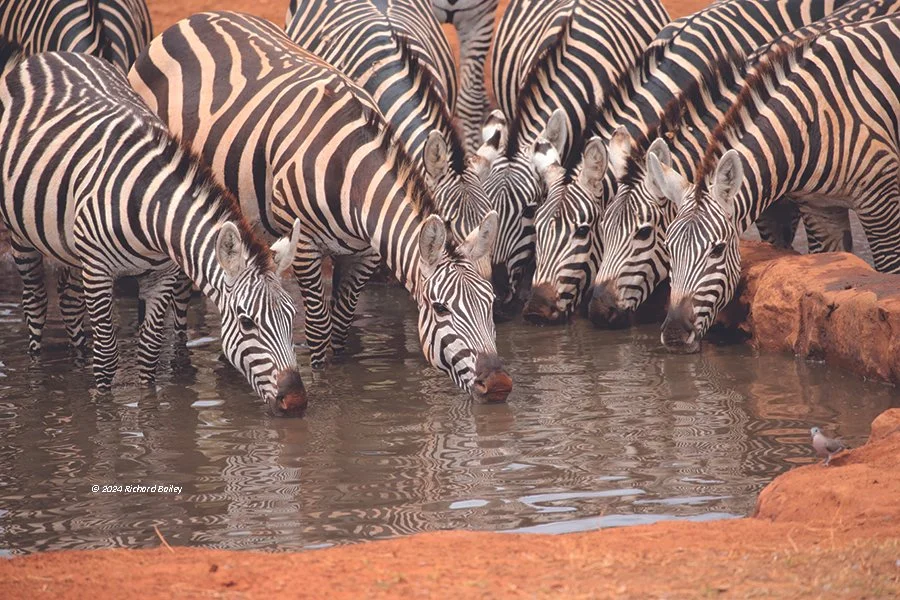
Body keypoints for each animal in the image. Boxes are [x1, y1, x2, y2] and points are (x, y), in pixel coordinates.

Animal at [0, 49, 307, 415]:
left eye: (291, 316)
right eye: (247, 322)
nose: (296, 400)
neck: (149, 206)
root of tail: (50, 54)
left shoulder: (162, 274)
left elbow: (148, 354)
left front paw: (149, 409)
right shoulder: (98, 272)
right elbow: (107, 358)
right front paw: (104, 411)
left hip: (67, 245)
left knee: (70, 303)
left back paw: (76, 360)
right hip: (21, 236)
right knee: (34, 304)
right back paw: (36, 373)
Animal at [589, 0, 900, 329]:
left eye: (644, 232)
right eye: (602, 228)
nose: (598, 312)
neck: (804, 126)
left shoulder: (879, 202)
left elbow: (889, 267)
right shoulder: (814, 208)